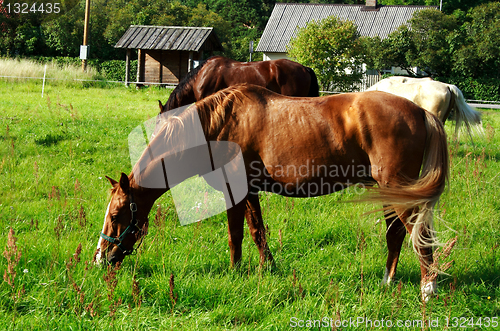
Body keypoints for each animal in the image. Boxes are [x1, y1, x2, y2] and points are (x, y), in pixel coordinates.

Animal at [98, 85, 450, 300]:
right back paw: (388, 280)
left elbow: (236, 234)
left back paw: (428, 288)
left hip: (399, 192)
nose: (101, 259)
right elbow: (257, 231)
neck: (219, 123)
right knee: (396, 234)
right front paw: (267, 268)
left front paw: (236, 271)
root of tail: (422, 113)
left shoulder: (234, 190)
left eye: (116, 215)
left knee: (419, 235)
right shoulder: (249, 192)